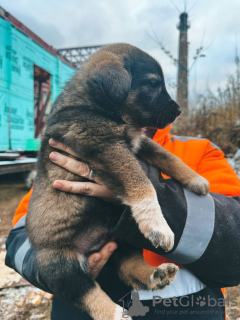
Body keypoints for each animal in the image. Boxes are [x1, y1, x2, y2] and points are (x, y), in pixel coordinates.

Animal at [25, 43, 208, 320]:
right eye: (153, 84)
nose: (178, 111)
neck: (96, 105)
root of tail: (91, 246)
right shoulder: (107, 146)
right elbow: (142, 182)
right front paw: (159, 226)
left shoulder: (138, 142)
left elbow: (168, 156)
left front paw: (196, 180)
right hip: (60, 266)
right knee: (87, 293)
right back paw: (117, 313)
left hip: (121, 238)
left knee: (129, 267)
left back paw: (157, 275)